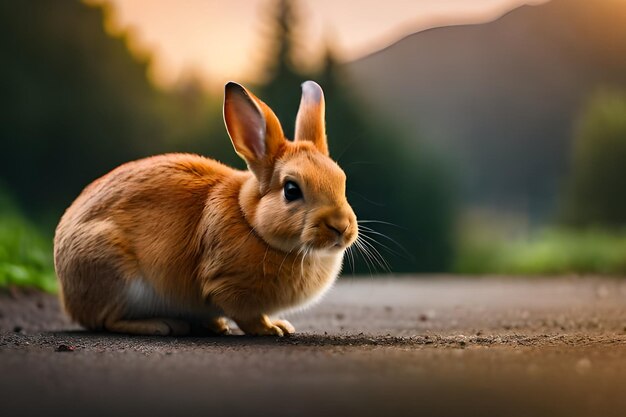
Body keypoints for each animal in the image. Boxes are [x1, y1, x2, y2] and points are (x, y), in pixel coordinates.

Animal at [53, 79, 356, 336]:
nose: (341, 227)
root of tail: (68, 294)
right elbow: (248, 317)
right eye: (291, 190)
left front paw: (279, 325)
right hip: (117, 275)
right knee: (107, 320)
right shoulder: (226, 285)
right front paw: (272, 329)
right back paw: (161, 325)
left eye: (342, 181)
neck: (250, 221)